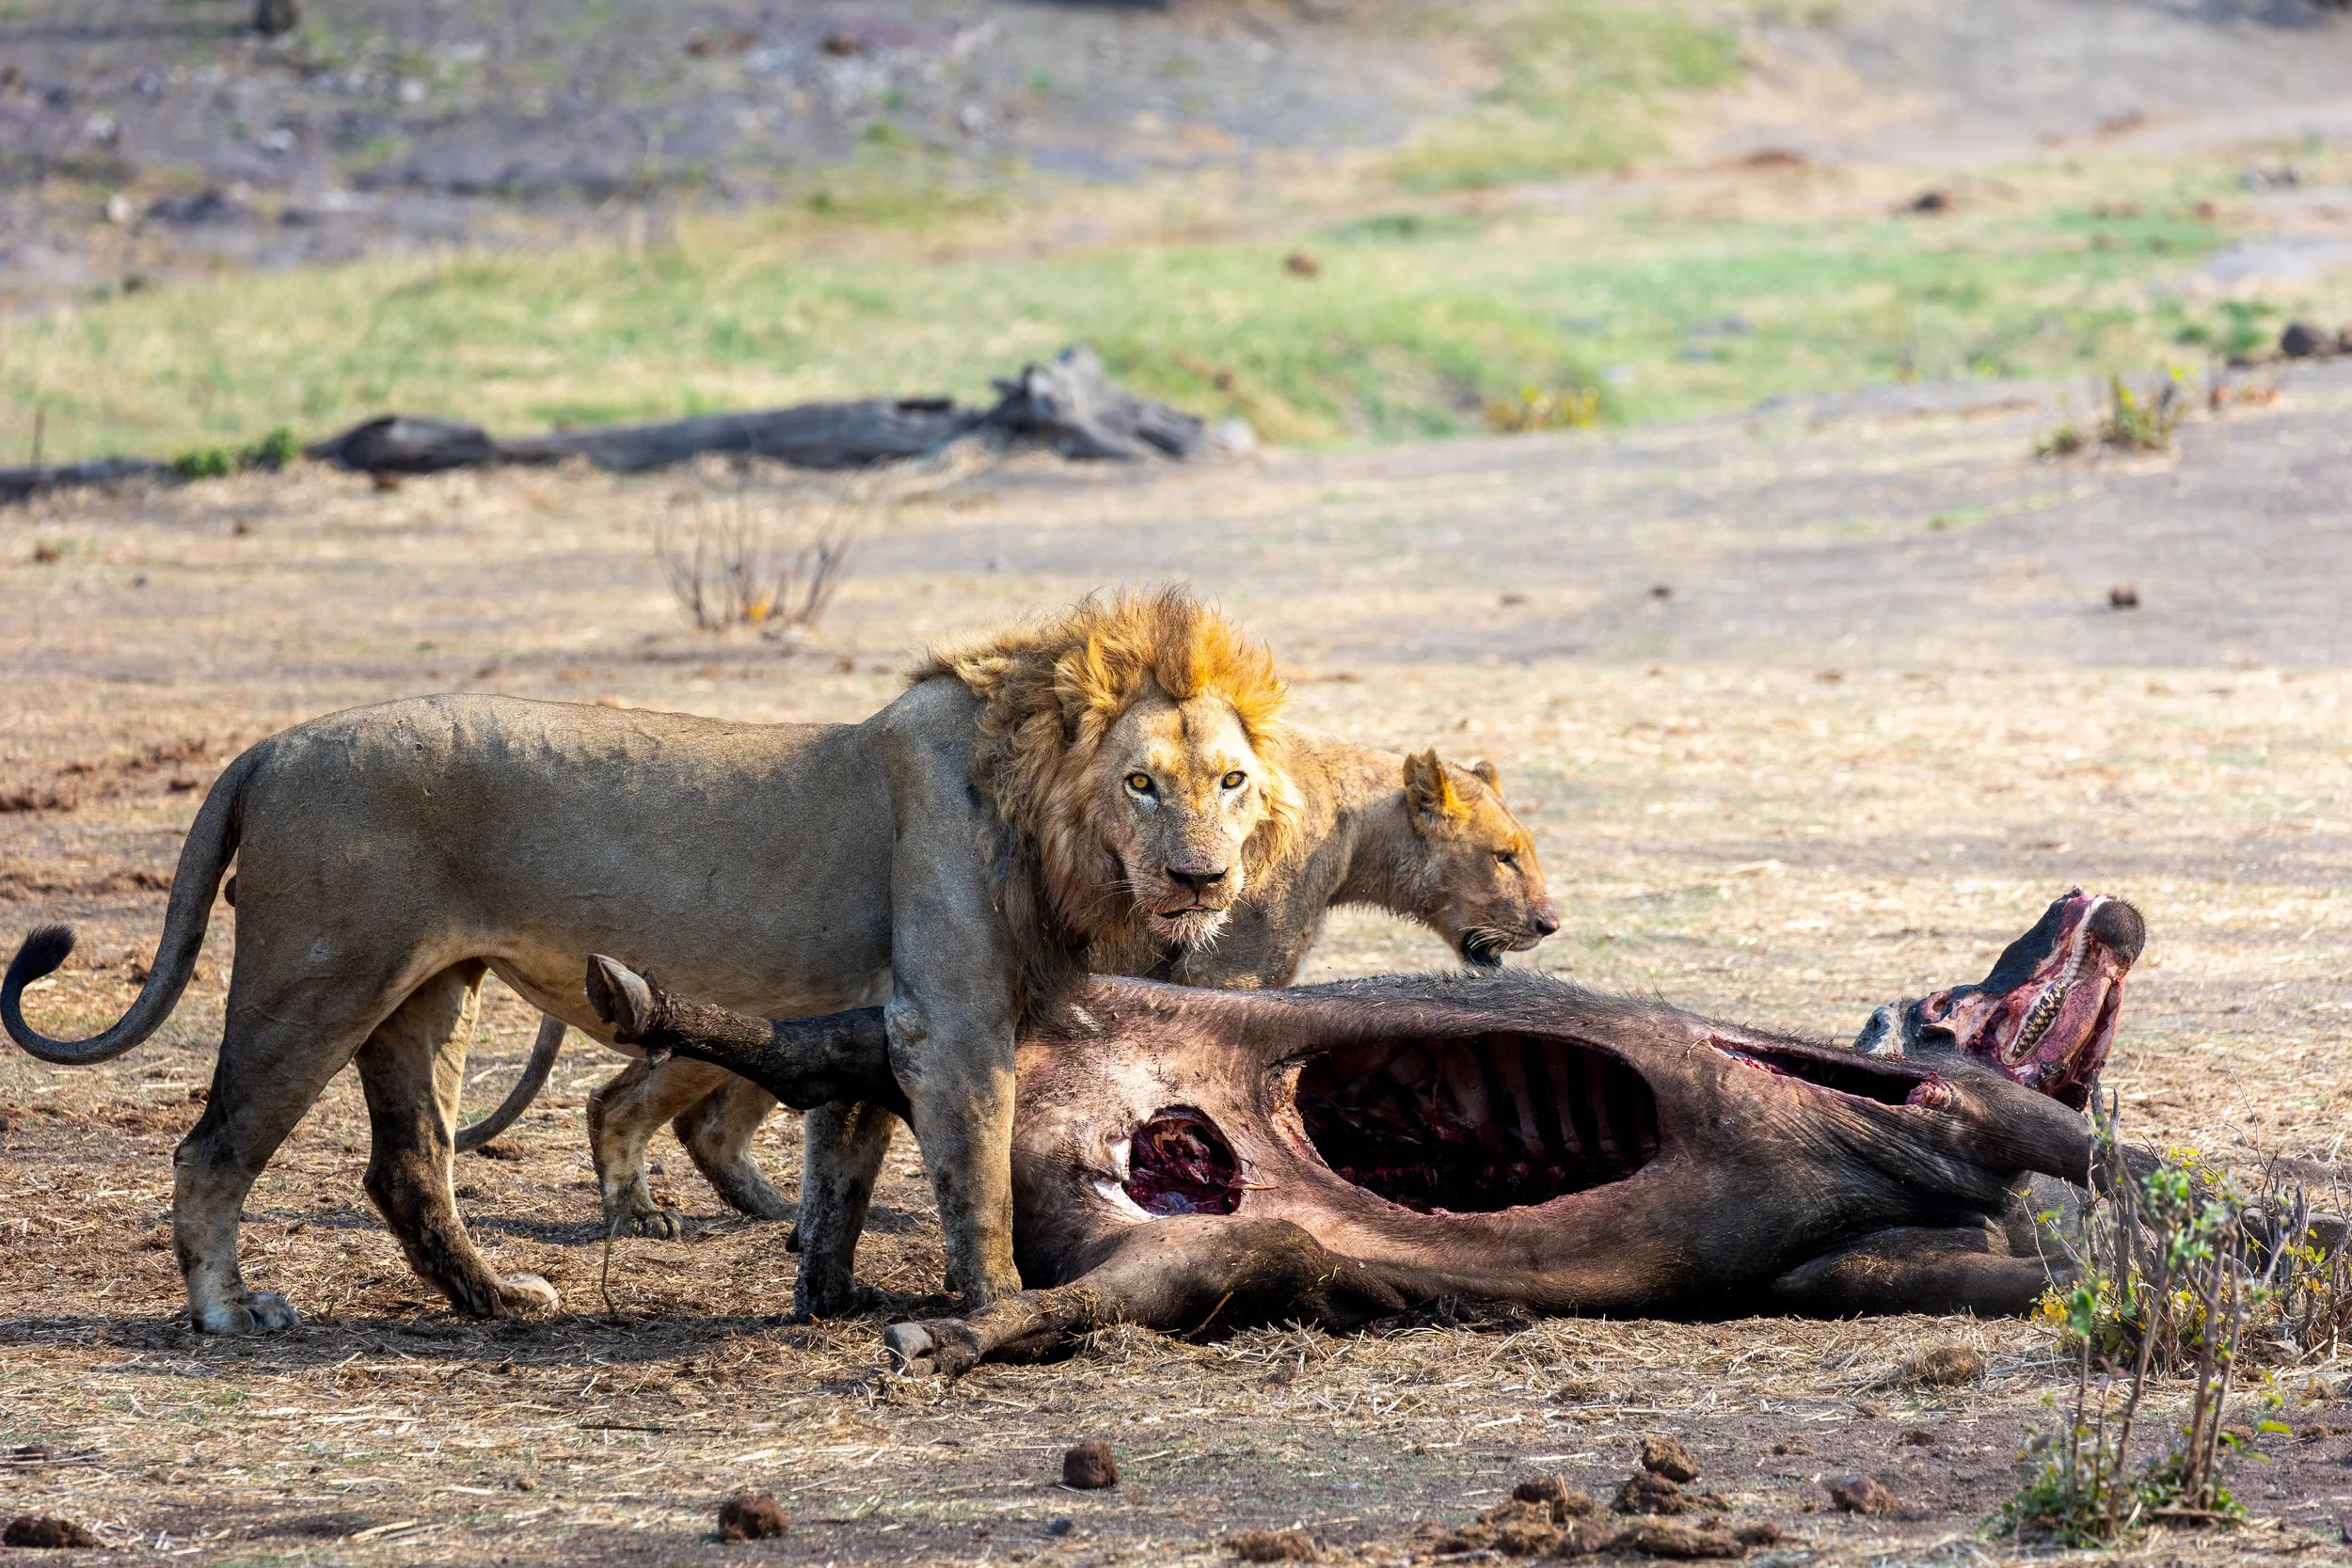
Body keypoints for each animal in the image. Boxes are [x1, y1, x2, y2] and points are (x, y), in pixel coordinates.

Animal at [0, 590, 1302, 1332]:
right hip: (313, 978)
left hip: (424, 996)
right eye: (1142, 782)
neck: (1043, 817)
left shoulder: (876, 1016)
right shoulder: (951, 1019)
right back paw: (230, 1309)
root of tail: (267, 745)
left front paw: (828, 1296)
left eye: (1230, 780)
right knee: (213, 1147)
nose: (1202, 878)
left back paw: (499, 1302)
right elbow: (970, 1174)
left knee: (409, 1167)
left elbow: (842, 1171)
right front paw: (1000, 1308)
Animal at [470, 733, 1562, 1240]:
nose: (1552, 921)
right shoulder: (1224, 974)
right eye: (1505, 855)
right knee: (627, 1096)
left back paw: (769, 1207)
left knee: (706, 1110)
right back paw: (643, 1211)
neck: (1345, 830)